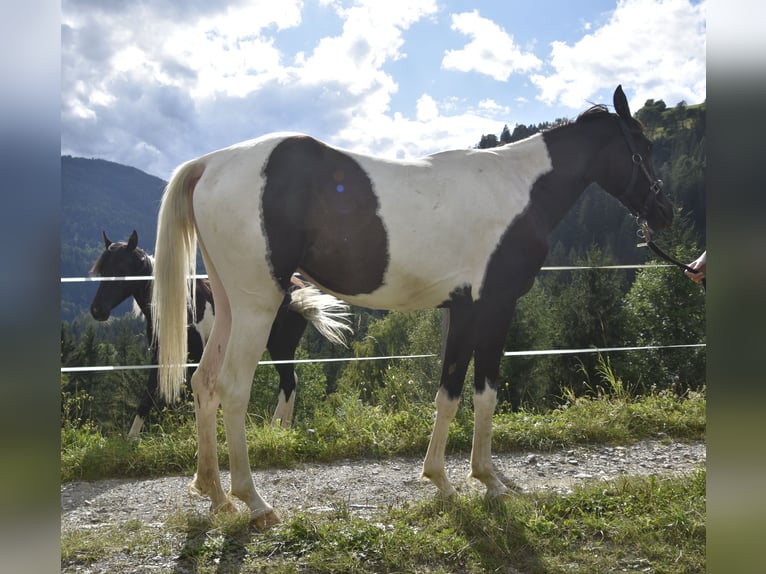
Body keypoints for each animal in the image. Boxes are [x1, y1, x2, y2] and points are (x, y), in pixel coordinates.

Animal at [91, 230, 354, 436]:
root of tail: (298, 291)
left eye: (123, 269)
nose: (97, 310)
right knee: (291, 381)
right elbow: (149, 394)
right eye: (102, 270)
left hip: (281, 347)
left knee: (288, 382)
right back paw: (282, 427)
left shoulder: (195, 356)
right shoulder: (160, 355)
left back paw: (274, 429)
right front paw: (132, 438)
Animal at [153, 86, 676, 532]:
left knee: (205, 383)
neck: (518, 188)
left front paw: (442, 480)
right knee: (232, 390)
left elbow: (450, 393)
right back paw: (255, 502)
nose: (665, 213)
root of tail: (210, 162)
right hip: (256, 308)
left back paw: (215, 494)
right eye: (644, 147)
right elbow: (484, 393)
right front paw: (488, 480)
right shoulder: (493, 306)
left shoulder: (461, 310)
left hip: (229, 307)